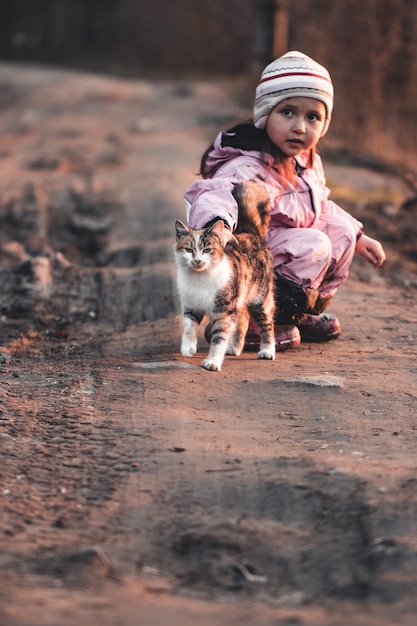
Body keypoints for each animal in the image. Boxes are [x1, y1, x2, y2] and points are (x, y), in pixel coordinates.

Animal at [173, 177, 274, 370]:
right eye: (189, 250)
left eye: (207, 250)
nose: (198, 260)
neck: (200, 278)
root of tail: (250, 233)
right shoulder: (191, 305)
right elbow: (189, 327)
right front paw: (188, 348)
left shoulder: (224, 311)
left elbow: (219, 338)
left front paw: (212, 361)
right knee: (243, 319)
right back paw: (234, 348)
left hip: (260, 298)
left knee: (267, 323)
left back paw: (267, 350)